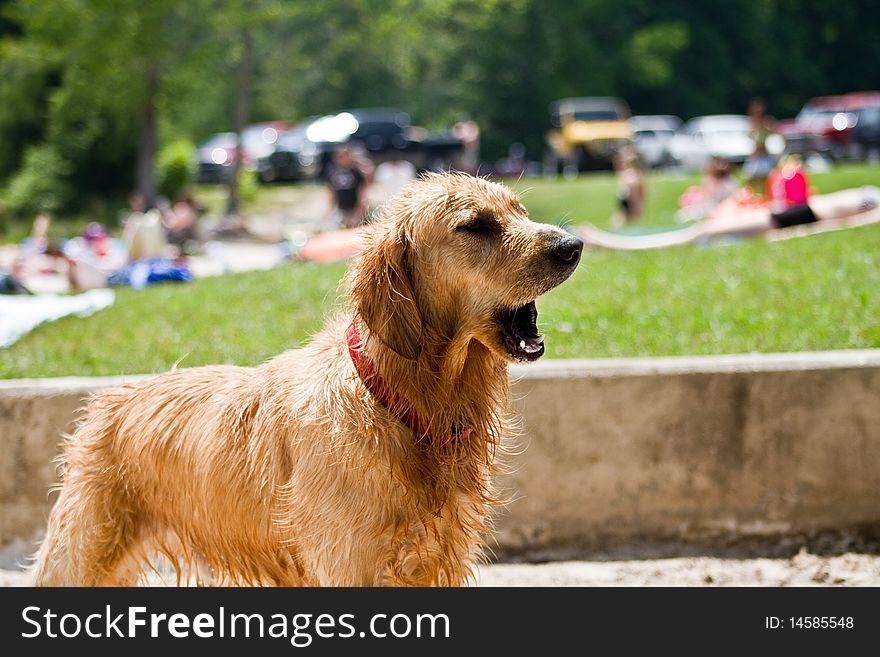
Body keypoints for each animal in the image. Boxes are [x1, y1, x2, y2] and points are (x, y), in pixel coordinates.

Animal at [32, 170, 584, 584]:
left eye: (519, 210)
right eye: (475, 225)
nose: (573, 244)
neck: (398, 400)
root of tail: (105, 401)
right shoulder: (353, 566)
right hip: (77, 556)